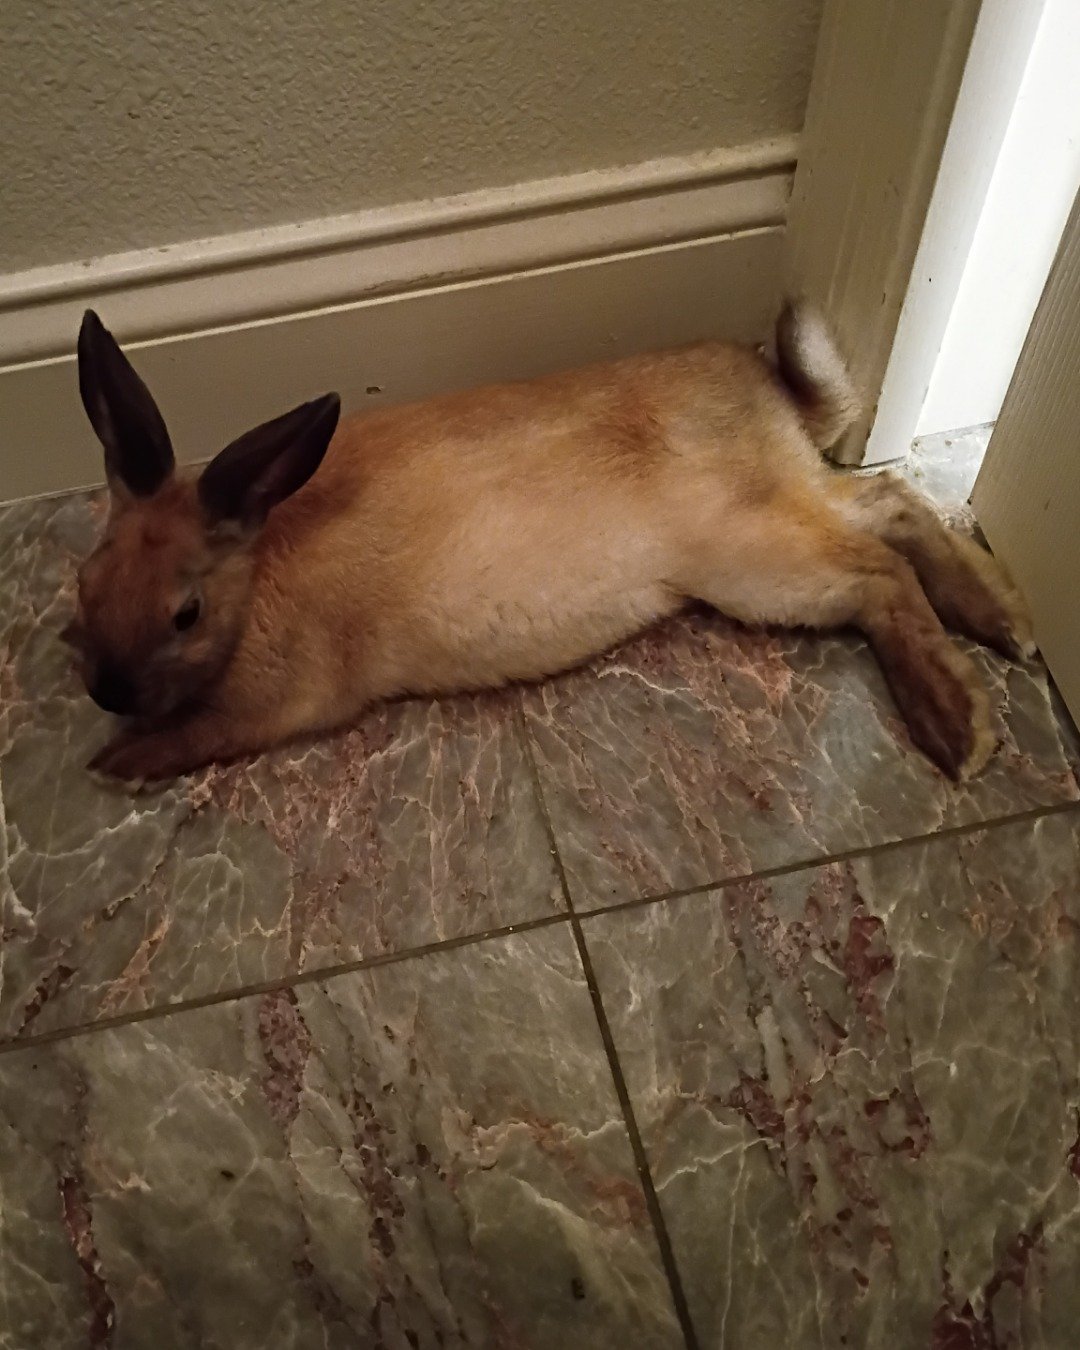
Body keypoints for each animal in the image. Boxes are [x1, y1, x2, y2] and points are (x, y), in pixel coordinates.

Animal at [65, 305, 1033, 787]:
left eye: (185, 613)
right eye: (88, 577)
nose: (105, 693)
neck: (260, 565)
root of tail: (772, 395)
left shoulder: (286, 703)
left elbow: (201, 732)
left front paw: (120, 764)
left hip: (752, 559)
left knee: (879, 573)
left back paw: (960, 728)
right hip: (783, 511)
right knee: (890, 506)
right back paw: (1005, 621)